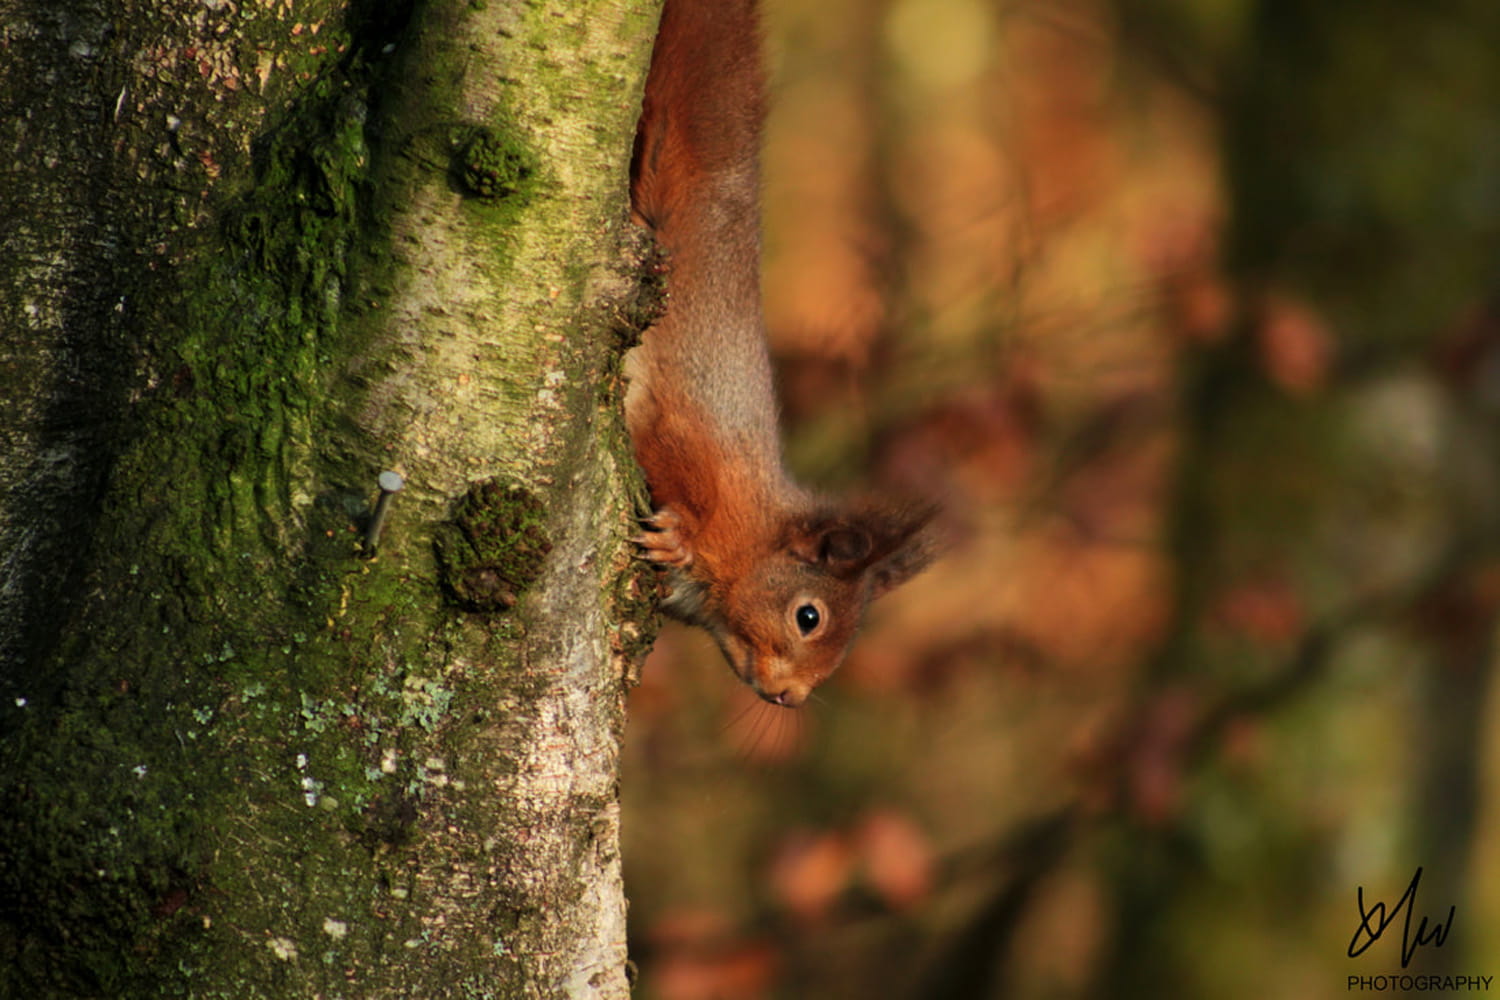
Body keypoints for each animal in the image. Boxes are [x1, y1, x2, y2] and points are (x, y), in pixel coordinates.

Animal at [625, 0, 938, 707]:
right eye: (808, 616)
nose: (790, 698)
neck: (755, 528)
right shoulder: (699, 435)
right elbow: (666, 445)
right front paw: (679, 535)